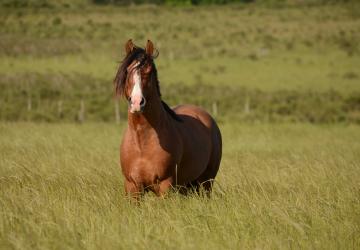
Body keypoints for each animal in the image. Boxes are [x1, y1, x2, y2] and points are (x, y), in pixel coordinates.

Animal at [114, 39, 222, 200]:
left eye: (149, 72)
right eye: (127, 71)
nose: (137, 102)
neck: (142, 144)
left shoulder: (165, 186)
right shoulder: (132, 188)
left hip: (206, 183)